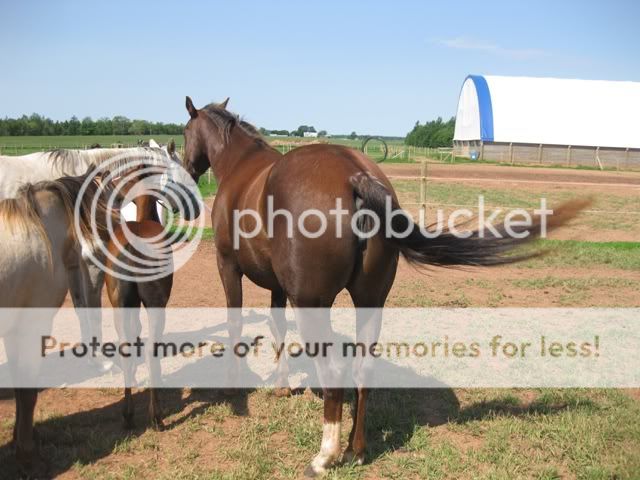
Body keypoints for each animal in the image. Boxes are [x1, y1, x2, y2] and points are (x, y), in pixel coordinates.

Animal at [0, 169, 112, 476]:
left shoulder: (14, 328)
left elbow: (20, 386)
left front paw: (22, 438)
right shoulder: (31, 326)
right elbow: (28, 391)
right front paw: (28, 455)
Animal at [182, 95, 588, 474]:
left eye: (184, 133)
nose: (188, 170)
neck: (241, 167)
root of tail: (354, 175)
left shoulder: (228, 266)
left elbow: (236, 323)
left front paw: (233, 386)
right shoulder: (278, 287)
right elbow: (276, 327)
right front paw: (282, 385)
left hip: (313, 303)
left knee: (335, 374)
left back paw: (325, 456)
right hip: (369, 300)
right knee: (363, 370)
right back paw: (356, 450)